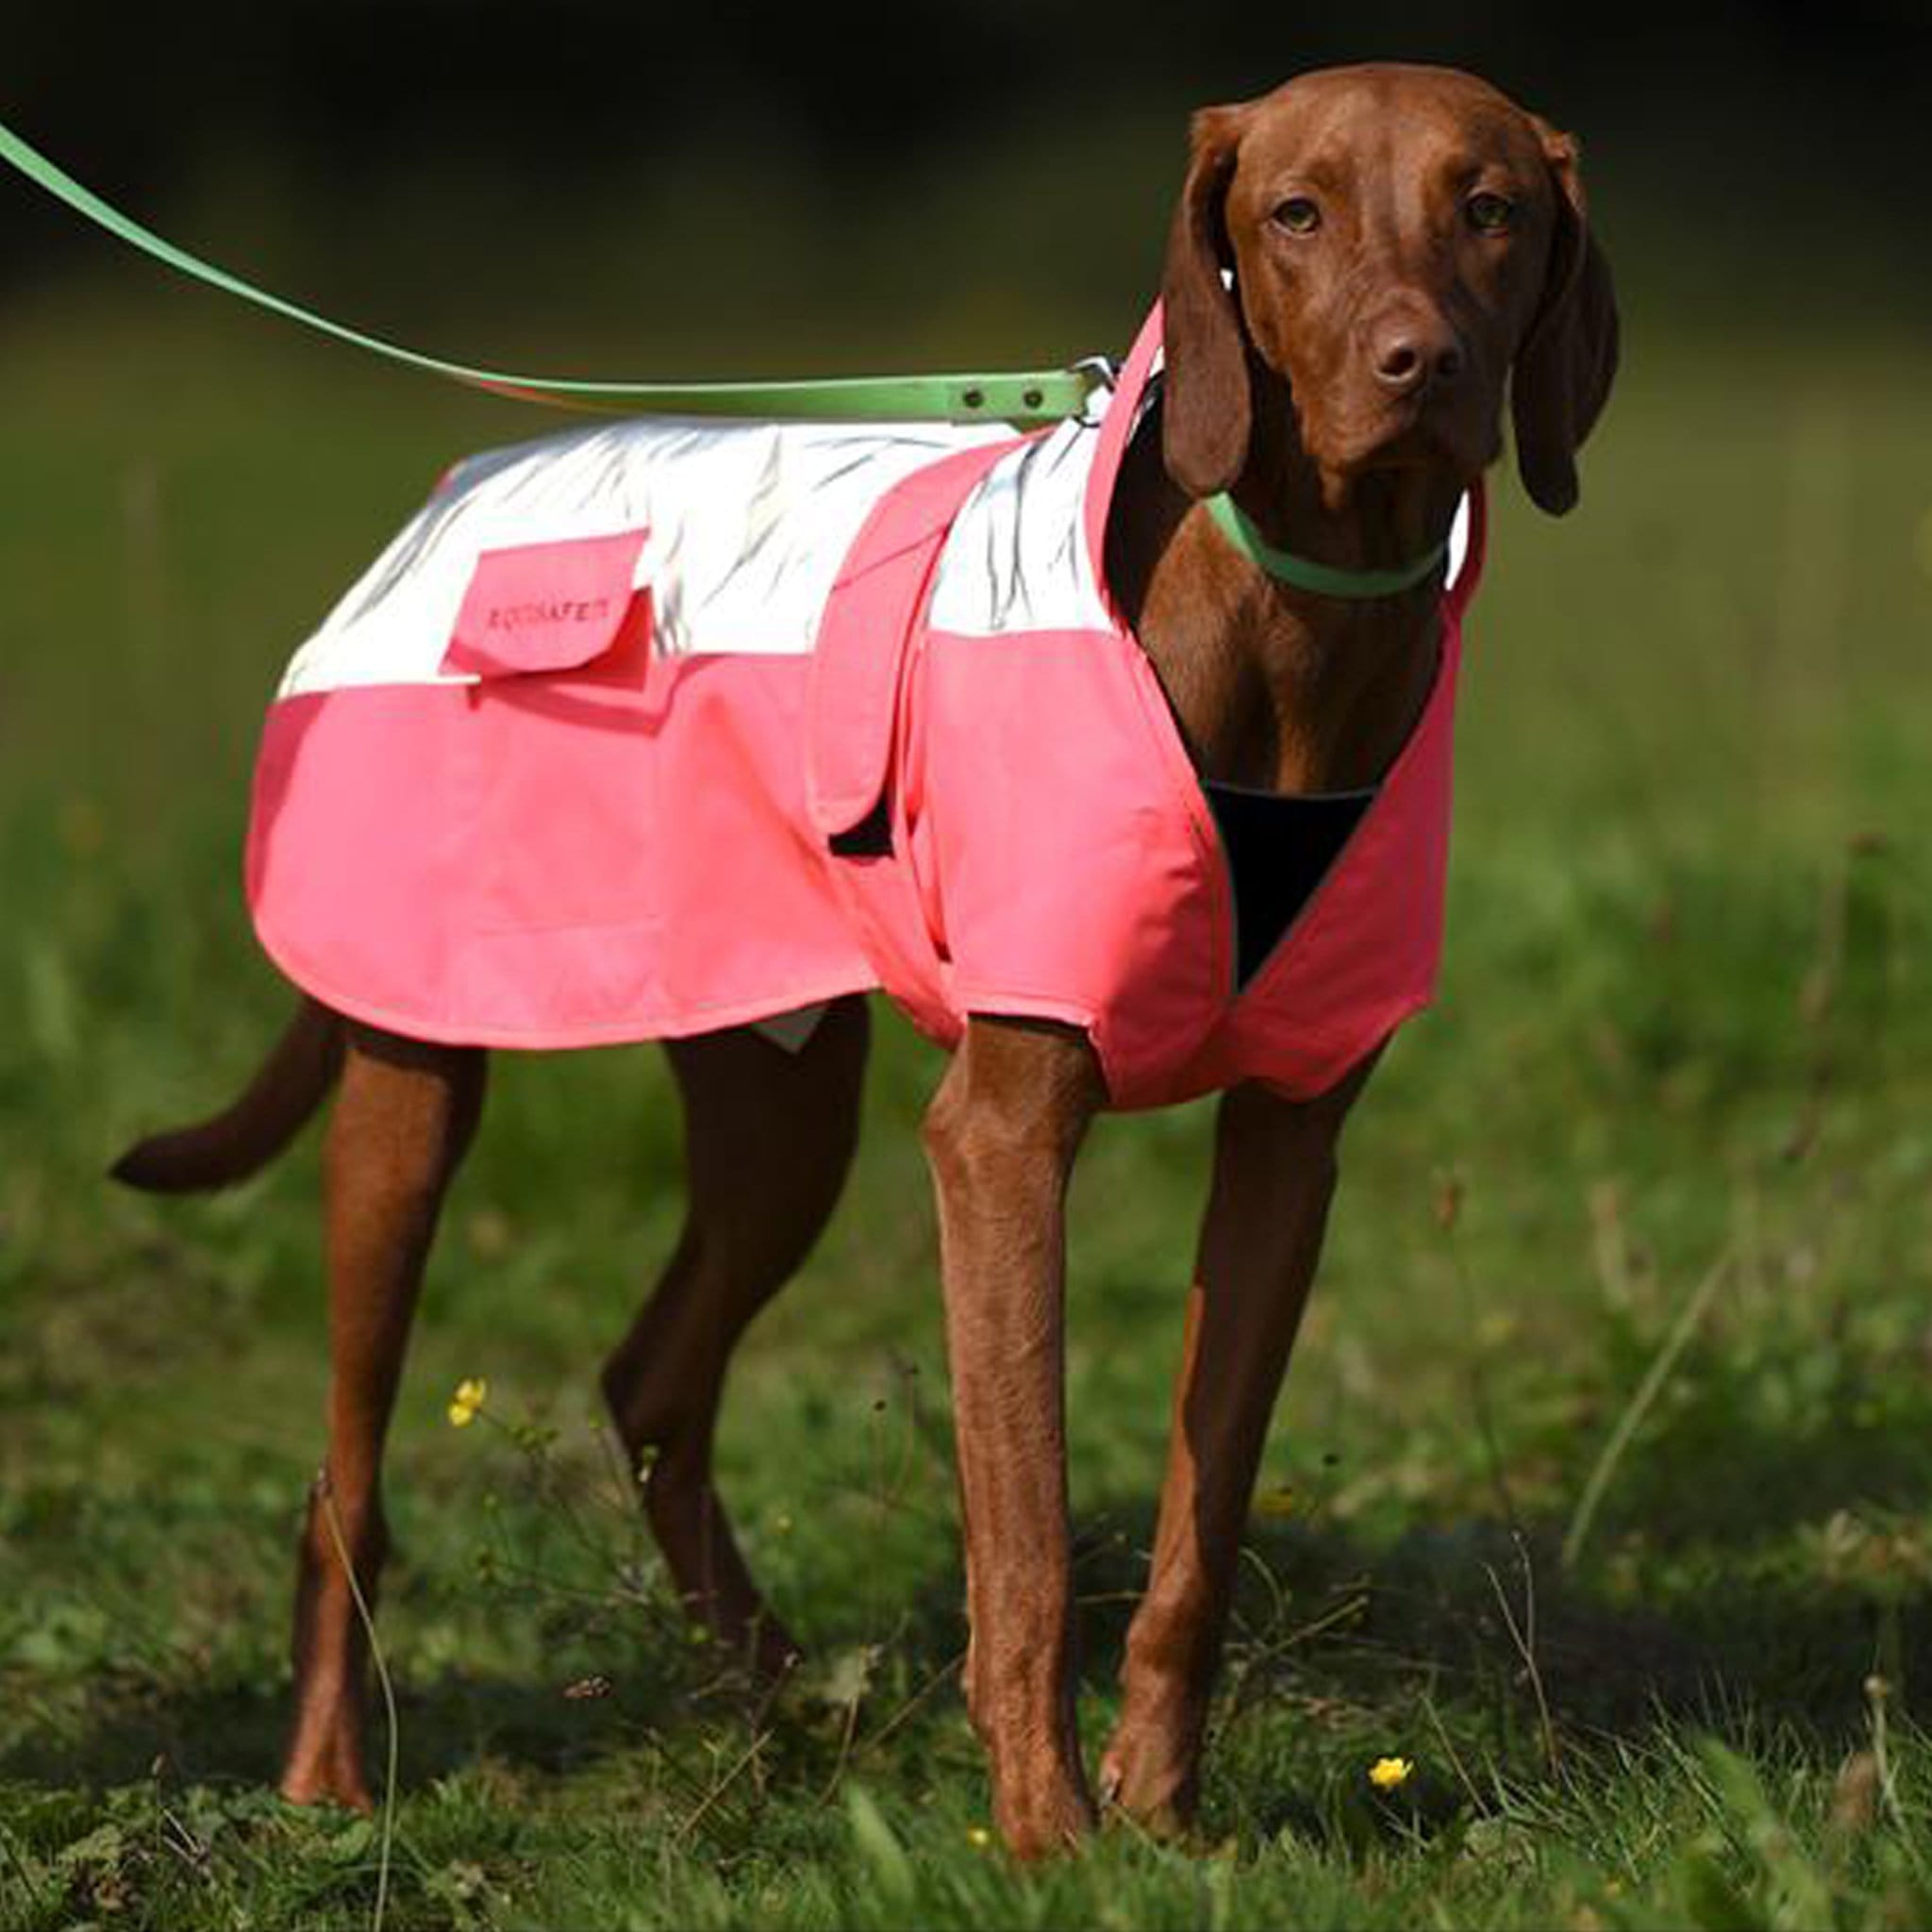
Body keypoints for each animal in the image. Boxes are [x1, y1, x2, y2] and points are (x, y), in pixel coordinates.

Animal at [109, 68, 1615, 1862]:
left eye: (1491, 207)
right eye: (1294, 213)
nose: (1417, 367)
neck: (1291, 625)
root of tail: (446, 499)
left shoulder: (1288, 1143)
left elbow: (1202, 1522)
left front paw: (1162, 1814)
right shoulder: (1004, 1135)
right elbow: (1025, 1527)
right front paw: (1046, 1834)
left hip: (779, 1101)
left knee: (652, 1384)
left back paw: (787, 1700)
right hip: (410, 1091)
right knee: (349, 1474)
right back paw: (332, 1776)